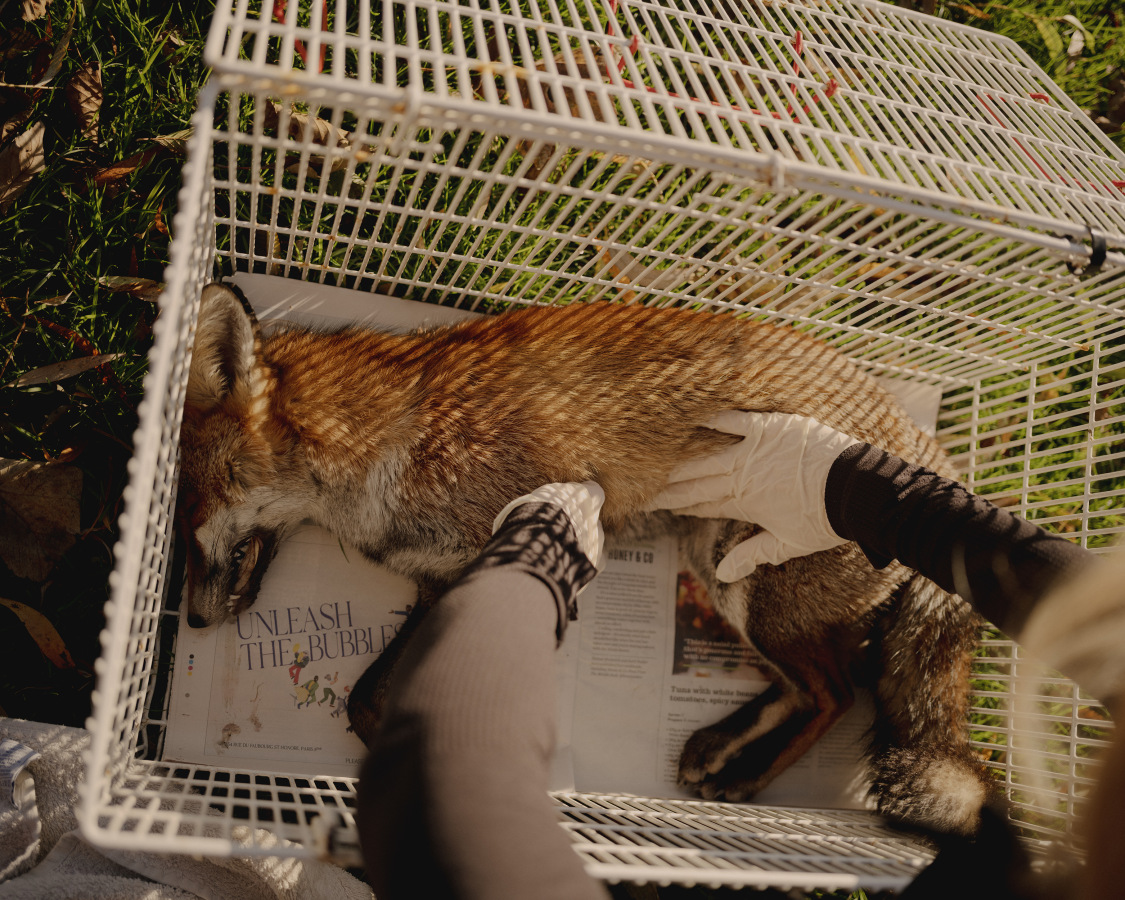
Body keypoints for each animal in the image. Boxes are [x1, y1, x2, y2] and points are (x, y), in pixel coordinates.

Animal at [177, 281, 994, 835]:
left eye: (189, 508)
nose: (188, 624)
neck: (390, 442)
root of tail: (931, 458)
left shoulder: (496, 558)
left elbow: (383, 701)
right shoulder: (443, 580)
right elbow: (368, 697)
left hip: (751, 586)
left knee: (838, 693)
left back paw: (746, 778)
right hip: (716, 570)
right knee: (805, 687)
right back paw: (716, 750)